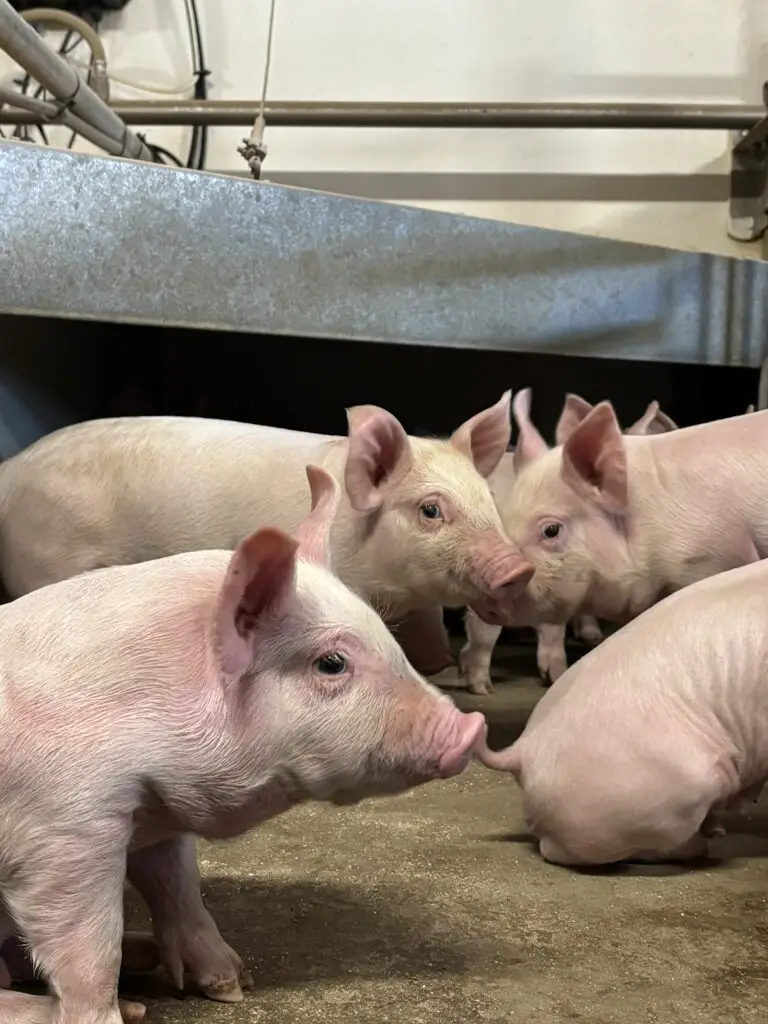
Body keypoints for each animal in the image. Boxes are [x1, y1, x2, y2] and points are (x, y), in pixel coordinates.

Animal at [0, 464, 491, 1024]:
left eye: (385, 636)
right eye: (331, 663)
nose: (471, 728)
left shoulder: (153, 810)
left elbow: (177, 885)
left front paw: (233, 987)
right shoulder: (62, 830)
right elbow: (87, 945)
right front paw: (111, 1014)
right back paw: (132, 1006)